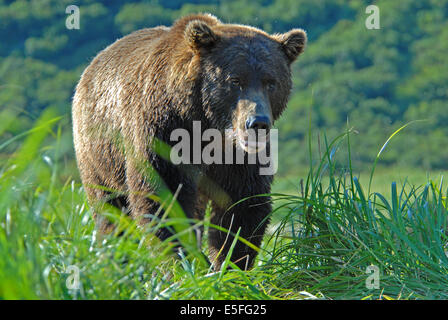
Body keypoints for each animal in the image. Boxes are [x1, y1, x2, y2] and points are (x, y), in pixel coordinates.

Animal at [72, 13, 306, 270]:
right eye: (235, 80)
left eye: (270, 82)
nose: (257, 122)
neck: (207, 125)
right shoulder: (163, 132)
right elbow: (164, 198)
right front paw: (182, 264)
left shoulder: (238, 158)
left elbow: (241, 206)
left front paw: (230, 264)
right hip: (99, 153)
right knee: (110, 209)